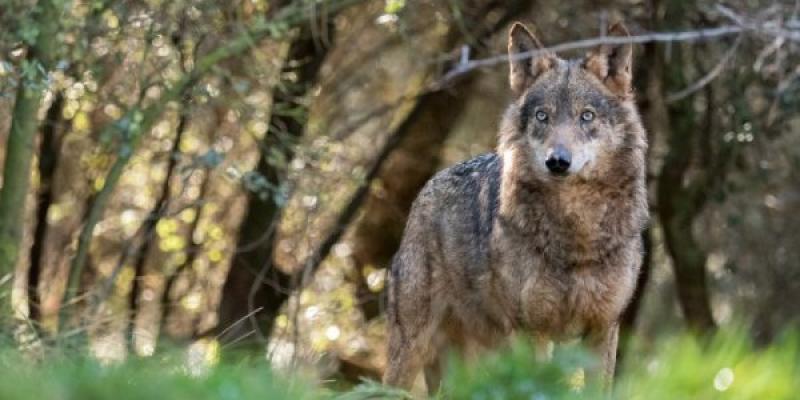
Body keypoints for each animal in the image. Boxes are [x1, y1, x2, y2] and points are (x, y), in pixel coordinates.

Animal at [382, 21, 649, 393]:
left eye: (587, 116)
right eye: (542, 116)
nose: (558, 161)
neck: (576, 236)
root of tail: (429, 186)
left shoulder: (602, 329)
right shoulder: (531, 331)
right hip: (413, 347)